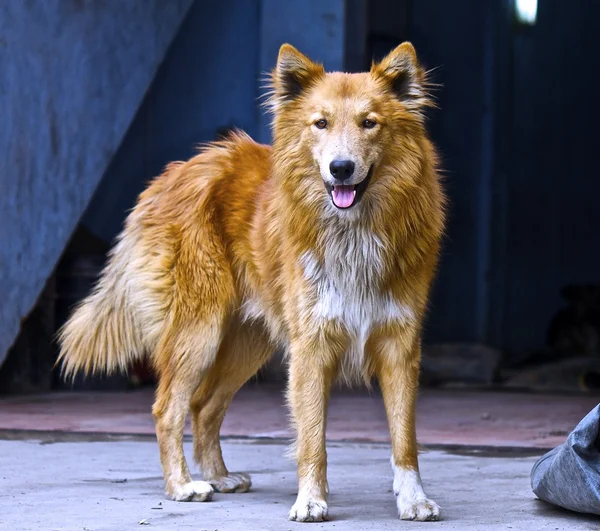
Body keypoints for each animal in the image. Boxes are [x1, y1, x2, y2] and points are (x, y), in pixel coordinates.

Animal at [58, 42, 446, 524]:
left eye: (369, 122)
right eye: (320, 123)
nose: (340, 168)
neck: (352, 231)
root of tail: (174, 172)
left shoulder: (399, 344)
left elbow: (404, 438)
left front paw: (413, 499)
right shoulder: (311, 347)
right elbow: (312, 438)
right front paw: (310, 500)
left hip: (248, 342)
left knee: (204, 406)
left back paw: (220, 476)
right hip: (199, 331)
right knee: (168, 407)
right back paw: (183, 486)